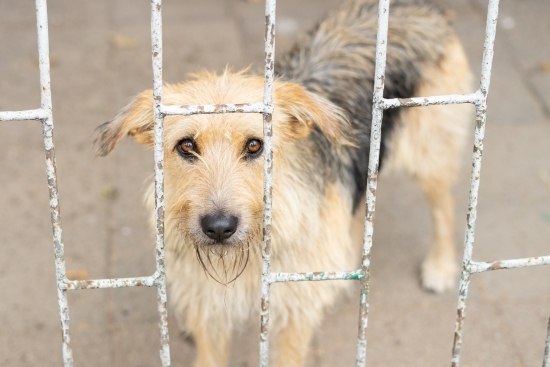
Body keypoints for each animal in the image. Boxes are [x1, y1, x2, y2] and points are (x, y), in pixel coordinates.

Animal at [95, 0, 474, 367]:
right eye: (186, 146)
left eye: (254, 145)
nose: (219, 227)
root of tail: (420, 7)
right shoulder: (208, 308)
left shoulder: (294, 312)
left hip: (432, 155)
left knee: (444, 206)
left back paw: (440, 267)